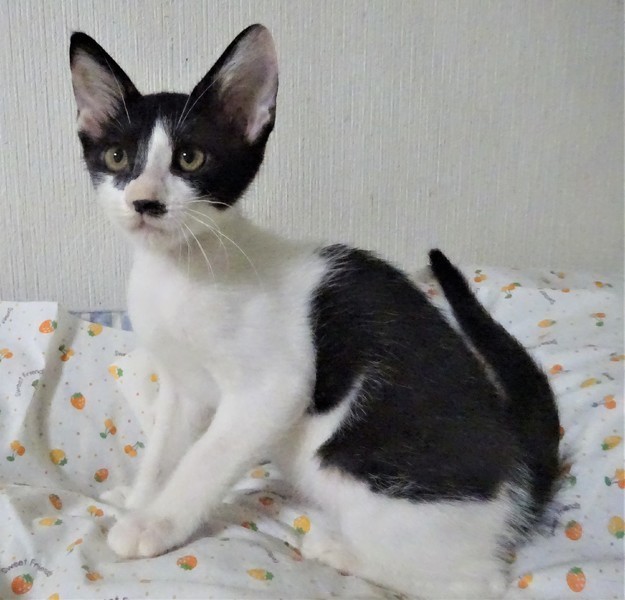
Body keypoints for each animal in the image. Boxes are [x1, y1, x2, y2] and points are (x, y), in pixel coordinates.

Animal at [69, 25, 560, 599]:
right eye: (118, 157)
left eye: (190, 159)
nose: (145, 202)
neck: (184, 270)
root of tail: (519, 470)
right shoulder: (183, 386)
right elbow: (165, 450)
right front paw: (139, 499)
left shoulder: (272, 388)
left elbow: (204, 459)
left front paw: (152, 525)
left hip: (356, 467)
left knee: (475, 581)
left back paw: (342, 550)